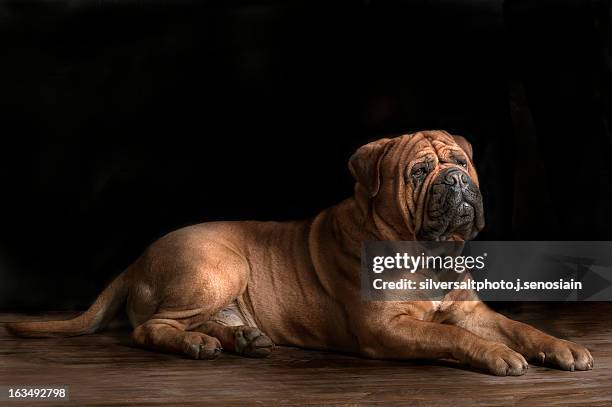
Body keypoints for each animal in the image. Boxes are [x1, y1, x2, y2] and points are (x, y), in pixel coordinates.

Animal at [5, 131, 592, 376]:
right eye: (420, 172)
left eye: (462, 163)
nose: (456, 179)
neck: (425, 254)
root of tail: (138, 257)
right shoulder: (388, 330)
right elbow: (450, 337)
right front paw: (495, 356)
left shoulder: (469, 309)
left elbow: (520, 327)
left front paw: (561, 347)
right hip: (221, 265)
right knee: (150, 328)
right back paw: (199, 345)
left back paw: (238, 339)